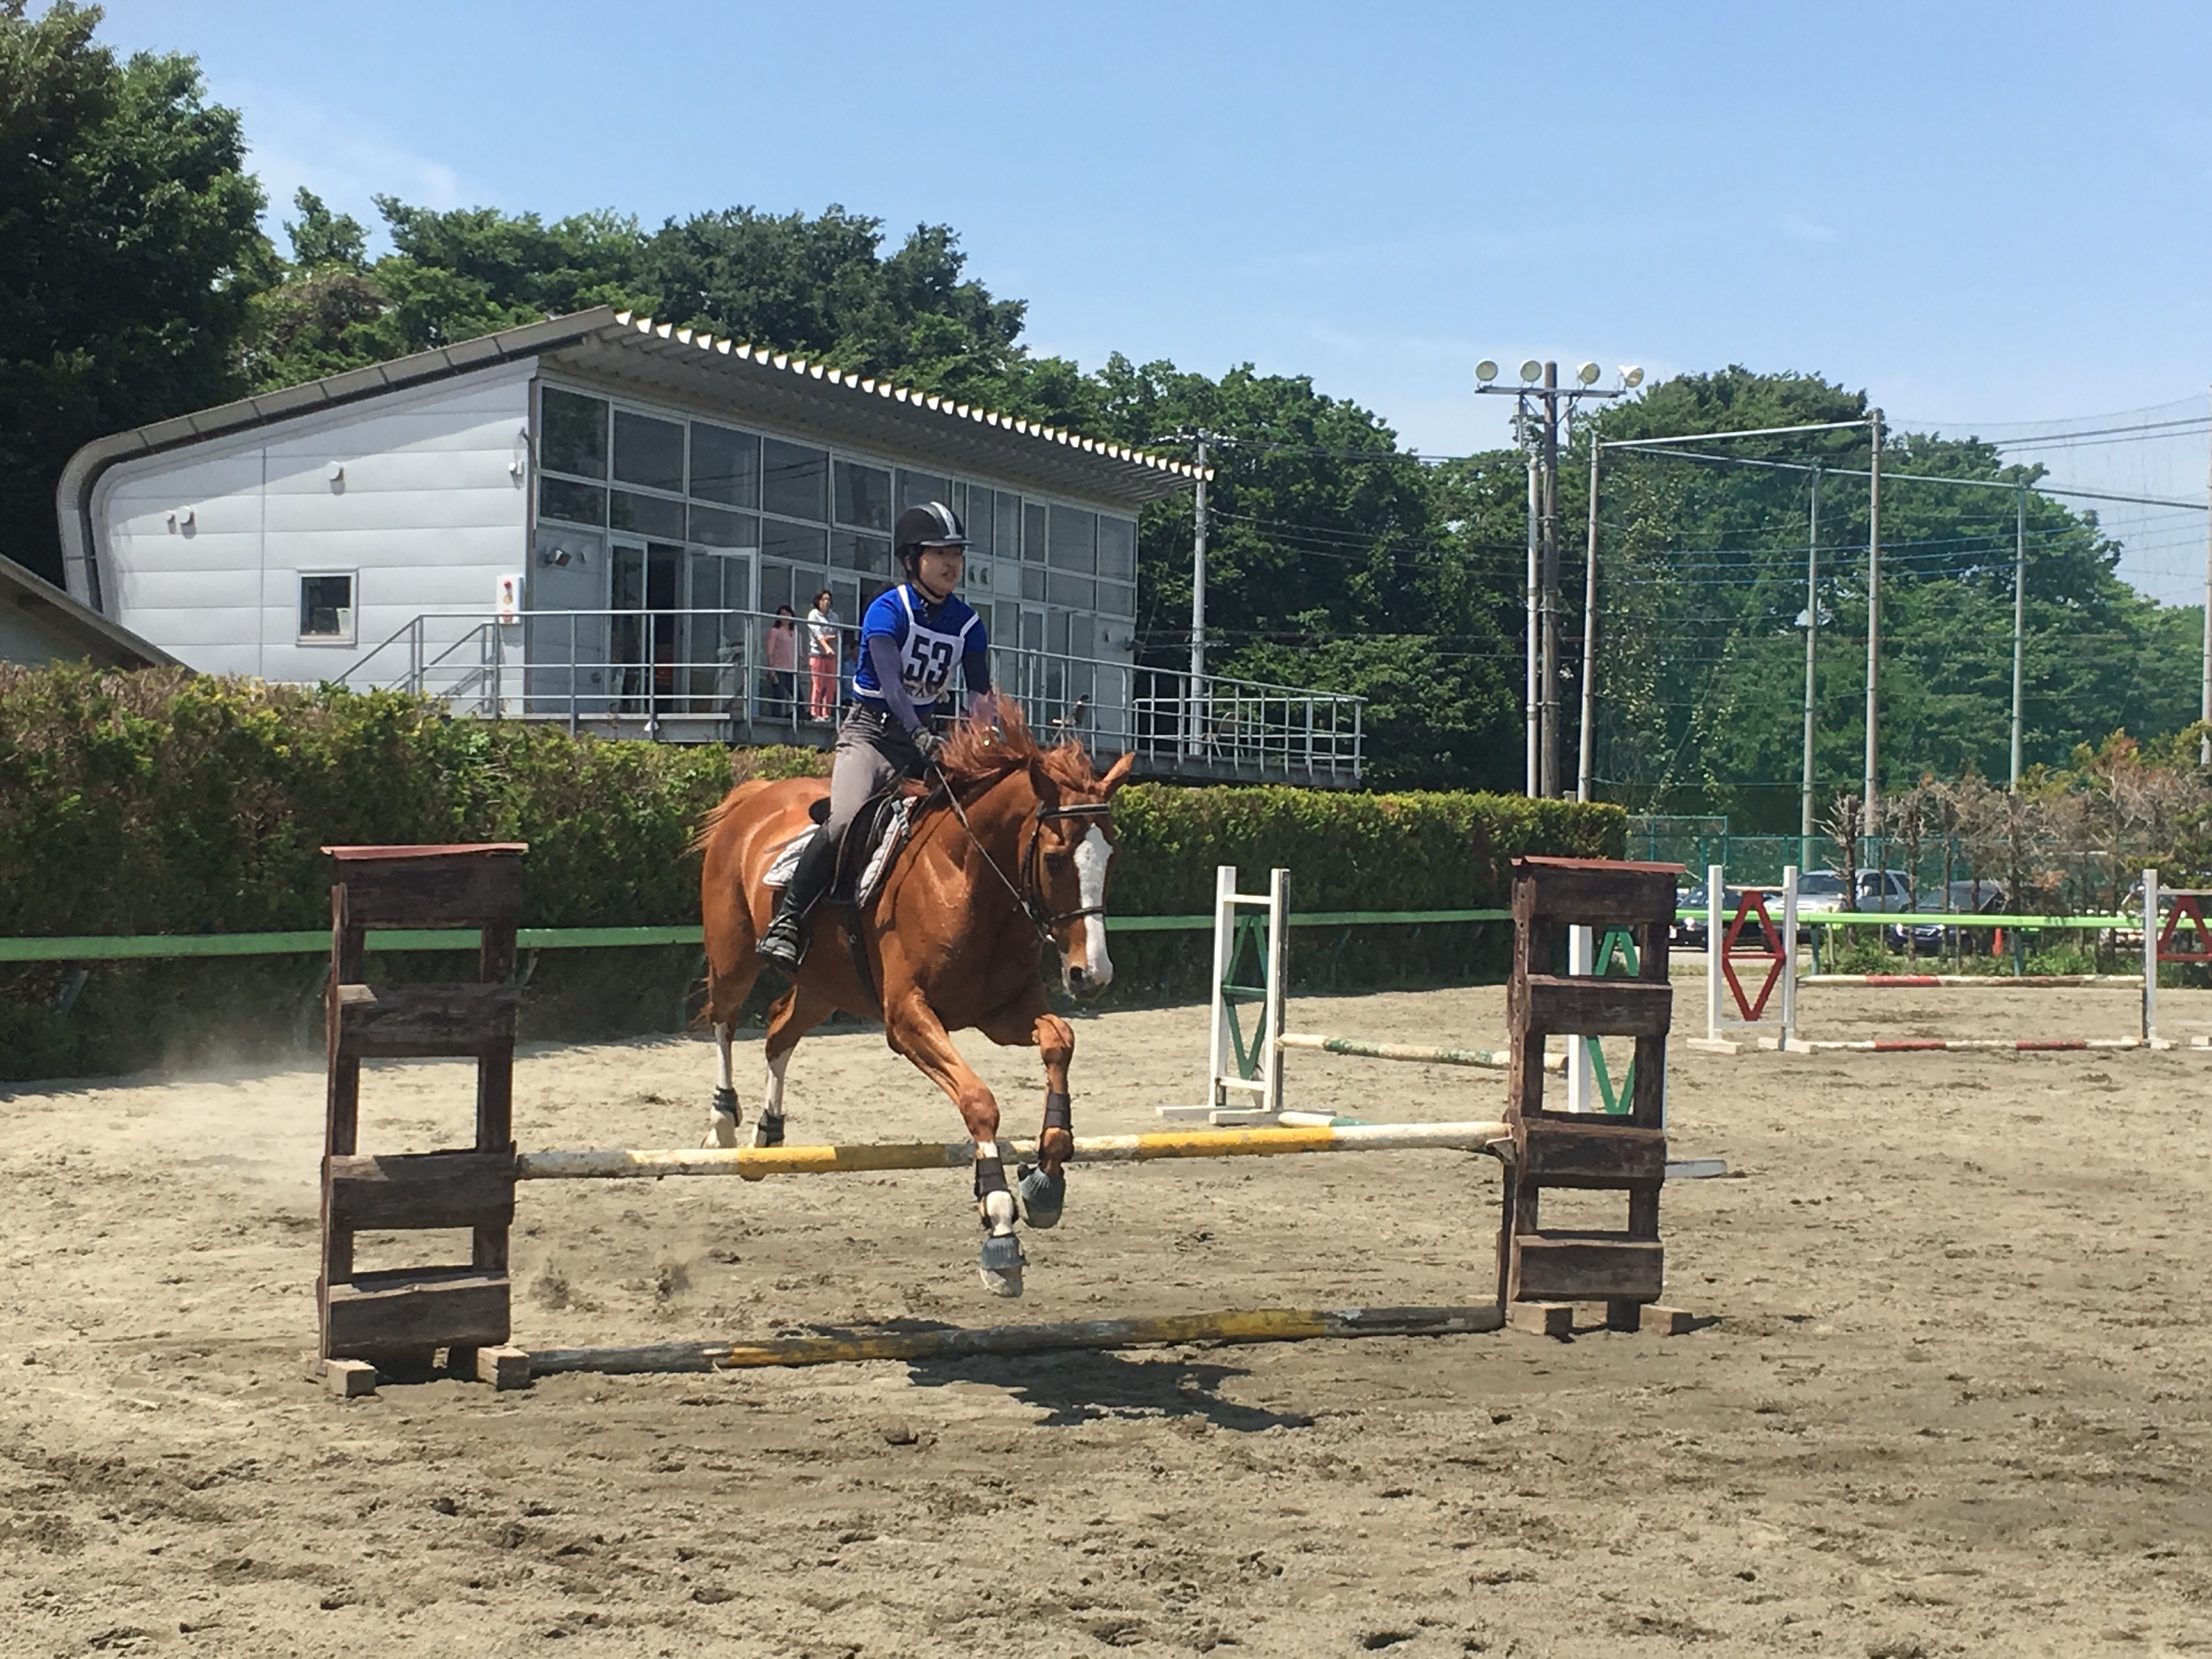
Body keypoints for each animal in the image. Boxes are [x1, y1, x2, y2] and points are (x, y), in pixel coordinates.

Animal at [699, 703, 1133, 1301]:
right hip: (734, 956)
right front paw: (999, 1222)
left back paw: (770, 1136)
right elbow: (979, 1101)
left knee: (779, 1031)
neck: (967, 877)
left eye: (1112, 857)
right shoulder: (908, 1021)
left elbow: (1059, 1042)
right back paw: (722, 1124)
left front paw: (1046, 1176)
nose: (1091, 975)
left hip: (824, 985)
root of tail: (756, 795)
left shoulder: (1003, 1015)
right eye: (1054, 858)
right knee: (724, 1019)